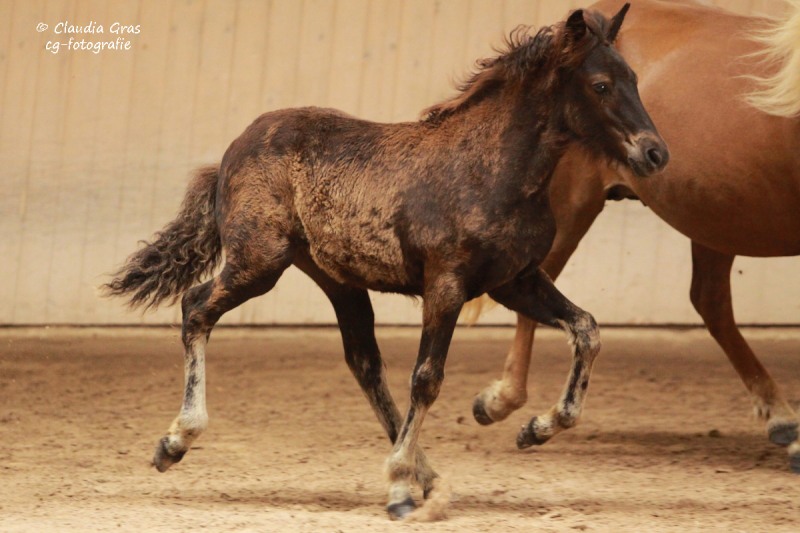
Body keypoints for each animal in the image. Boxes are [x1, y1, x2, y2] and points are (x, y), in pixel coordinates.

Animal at [105, 5, 667, 520]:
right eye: (600, 85)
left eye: (635, 80)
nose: (656, 154)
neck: (492, 172)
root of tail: (229, 154)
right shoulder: (446, 284)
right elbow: (427, 378)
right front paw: (397, 485)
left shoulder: (516, 281)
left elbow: (587, 329)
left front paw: (535, 429)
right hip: (258, 262)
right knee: (196, 307)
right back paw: (176, 441)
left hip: (337, 280)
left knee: (363, 363)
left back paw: (429, 479)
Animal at [470, 0, 800, 472]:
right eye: (603, 86)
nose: (655, 152)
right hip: (576, 204)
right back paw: (508, 404)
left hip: (713, 216)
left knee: (711, 303)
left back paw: (782, 420)